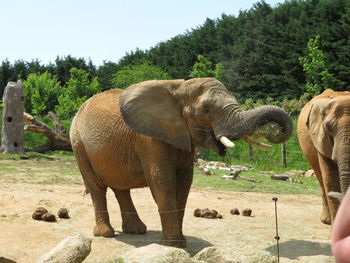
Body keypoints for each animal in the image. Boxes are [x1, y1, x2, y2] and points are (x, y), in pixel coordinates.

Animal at [69, 78, 292, 248]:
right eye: (206, 110)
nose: (274, 131)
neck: (178, 89)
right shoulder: (150, 139)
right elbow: (164, 182)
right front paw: (174, 245)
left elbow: (184, 183)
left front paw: (180, 243)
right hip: (78, 143)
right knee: (96, 187)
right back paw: (106, 233)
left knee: (120, 188)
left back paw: (137, 230)